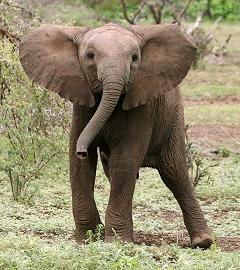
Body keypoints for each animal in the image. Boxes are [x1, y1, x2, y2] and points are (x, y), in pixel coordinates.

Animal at [19, 22, 213, 248]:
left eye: (135, 57)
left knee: (174, 172)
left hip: (173, 118)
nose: (81, 151)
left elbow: (125, 159)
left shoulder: (143, 103)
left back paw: (203, 241)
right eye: (90, 55)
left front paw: (117, 242)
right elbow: (80, 165)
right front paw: (87, 239)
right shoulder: (82, 103)